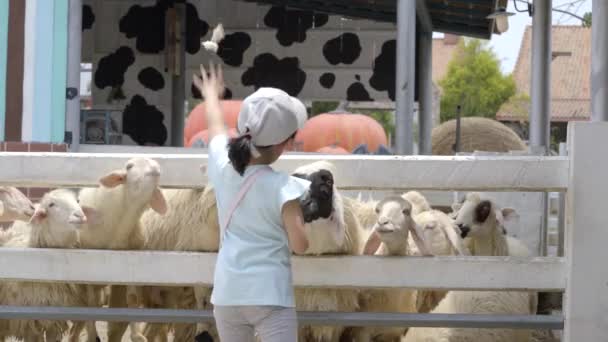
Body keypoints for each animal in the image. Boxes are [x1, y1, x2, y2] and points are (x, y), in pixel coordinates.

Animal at [67, 157, 167, 342]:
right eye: (129, 166)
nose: (156, 169)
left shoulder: (129, 261)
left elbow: (132, 299)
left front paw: (137, 335)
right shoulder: (88, 266)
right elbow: (91, 304)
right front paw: (92, 336)